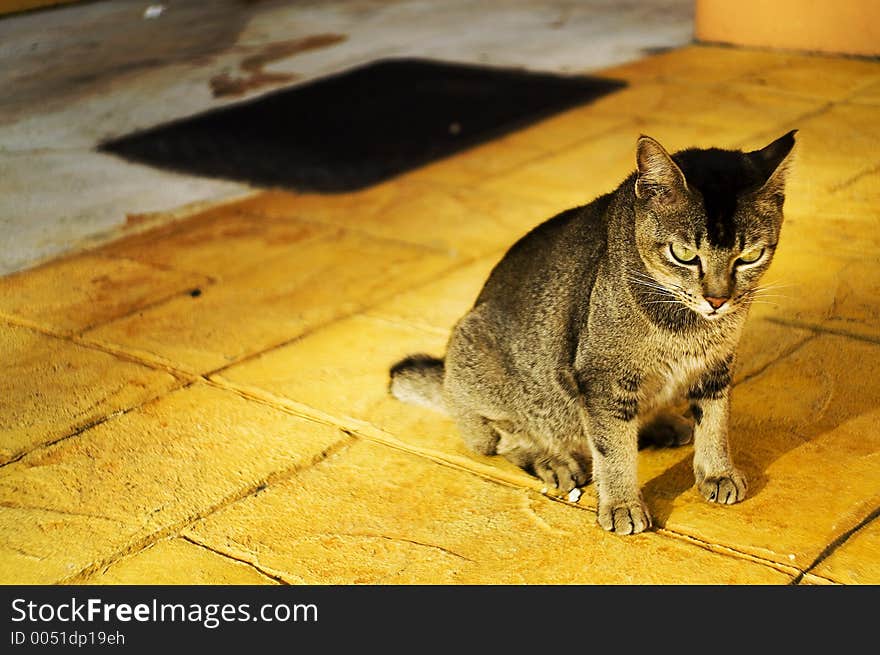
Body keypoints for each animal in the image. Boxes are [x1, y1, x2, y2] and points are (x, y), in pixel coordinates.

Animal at [388, 131, 796, 536]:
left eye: (750, 256)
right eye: (683, 254)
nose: (717, 299)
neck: (688, 326)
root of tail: (445, 379)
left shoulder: (715, 366)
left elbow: (715, 422)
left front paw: (717, 473)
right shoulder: (601, 379)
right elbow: (613, 449)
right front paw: (621, 504)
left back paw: (661, 424)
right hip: (481, 360)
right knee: (505, 438)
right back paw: (553, 461)